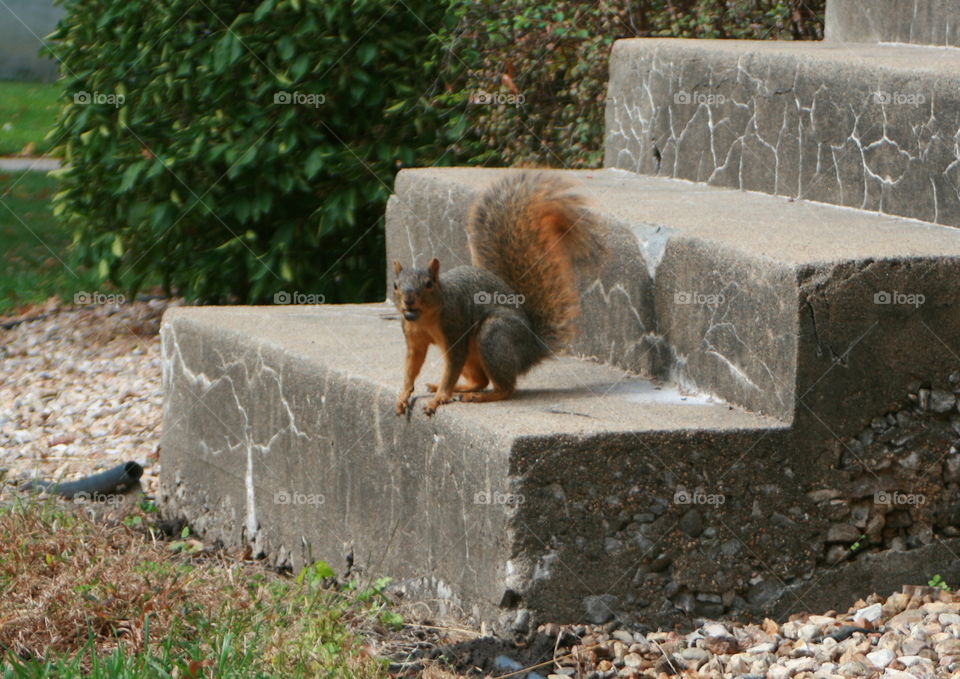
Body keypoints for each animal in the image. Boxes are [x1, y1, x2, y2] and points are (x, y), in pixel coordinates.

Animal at [392, 171, 604, 414]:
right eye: (395, 285)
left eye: (428, 284)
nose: (408, 300)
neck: (426, 318)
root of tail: (532, 349)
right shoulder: (412, 337)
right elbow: (412, 365)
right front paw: (403, 395)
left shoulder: (455, 327)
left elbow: (451, 368)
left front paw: (438, 399)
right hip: (477, 354)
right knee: (481, 380)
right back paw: (460, 388)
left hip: (494, 335)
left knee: (505, 388)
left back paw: (479, 396)